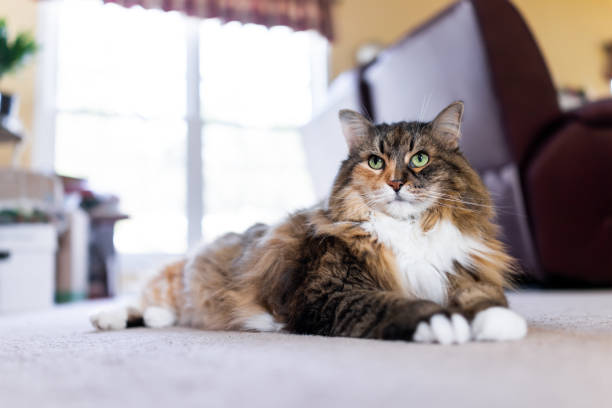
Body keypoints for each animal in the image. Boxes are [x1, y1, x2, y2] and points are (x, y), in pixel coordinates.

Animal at [91, 102, 524, 344]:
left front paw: (499, 322)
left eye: (419, 159)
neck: (409, 232)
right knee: (138, 301)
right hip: (173, 281)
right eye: (375, 161)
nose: (396, 183)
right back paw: (106, 318)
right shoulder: (330, 291)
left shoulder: (461, 271)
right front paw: (441, 322)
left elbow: (485, 298)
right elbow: (396, 304)